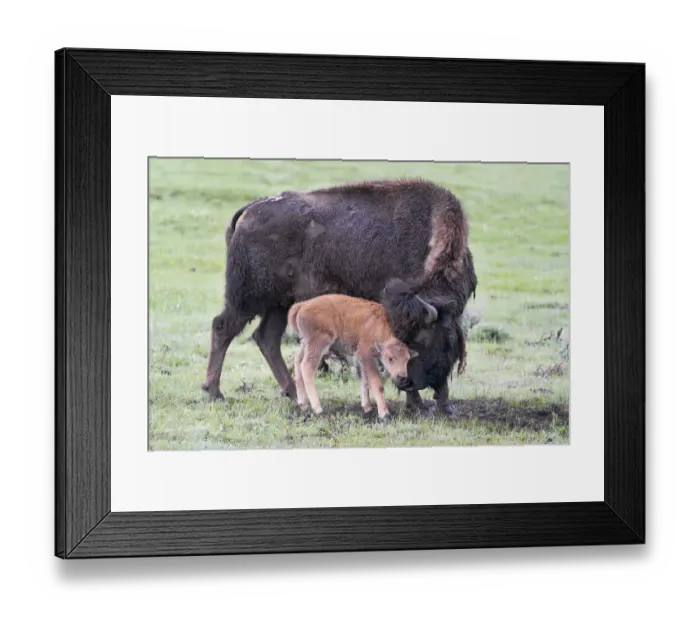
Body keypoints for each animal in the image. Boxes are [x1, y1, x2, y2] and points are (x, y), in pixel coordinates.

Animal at [288, 293, 418, 421]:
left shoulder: (359, 359)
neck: (377, 325)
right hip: (318, 344)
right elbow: (376, 383)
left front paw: (367, 407)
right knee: (307, 367)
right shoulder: (366, 356)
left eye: (407, 359)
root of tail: (302, 305)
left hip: (305, 343)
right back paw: (318, 409)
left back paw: (303, 404)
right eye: (390, 359)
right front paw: (384, 414)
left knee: (298, 361)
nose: (402, 377)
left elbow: (364, 380)